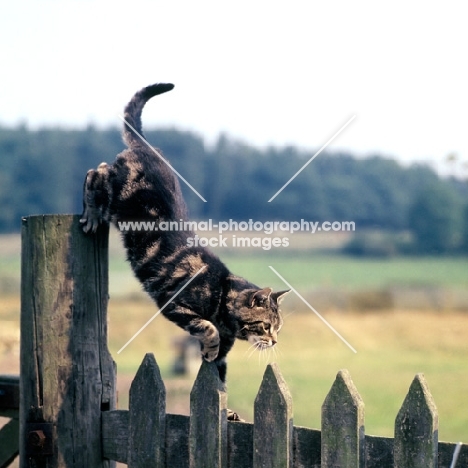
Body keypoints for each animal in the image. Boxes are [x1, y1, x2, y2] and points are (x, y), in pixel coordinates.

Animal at [80, 83, 288, 410]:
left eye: (278, 328)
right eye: (267, 326)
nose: (276, 341)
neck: (222, 295)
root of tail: (147, 148)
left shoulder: (224, 356)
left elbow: (220, 382)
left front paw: (228, 411)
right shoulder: (173, 302)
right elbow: (207, 328)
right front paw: (210, 345)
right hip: (113, 192)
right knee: (95, 171)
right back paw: (90, 212)